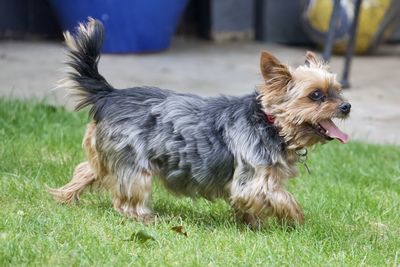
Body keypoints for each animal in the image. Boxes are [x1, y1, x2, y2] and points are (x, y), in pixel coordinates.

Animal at [48, 18, 352, 228]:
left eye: (338, 90)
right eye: (316, 95)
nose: (346, 106)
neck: (271, 123)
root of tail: (110, 94)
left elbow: (254, 206)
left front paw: (252, 224)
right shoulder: (253, 182)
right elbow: (283, 199)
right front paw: (297, 221)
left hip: (107, 154)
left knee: (86, 170)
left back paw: (64, 197)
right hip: (135, 165)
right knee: (128, 198)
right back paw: (146, 218)